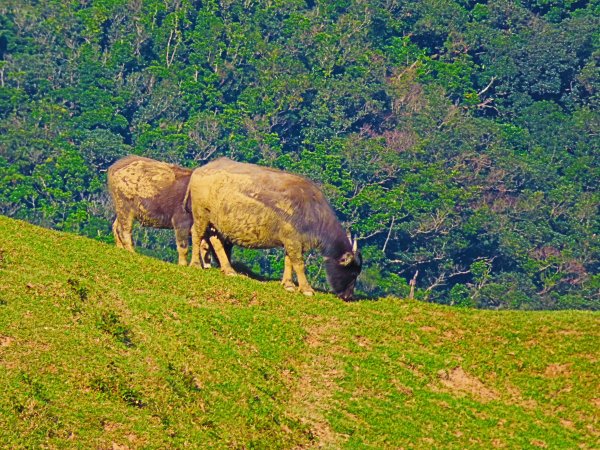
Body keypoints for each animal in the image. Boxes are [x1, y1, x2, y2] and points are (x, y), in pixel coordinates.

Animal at [185, 156, 360, 300]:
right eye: (352, 273)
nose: (348, 296)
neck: (311, 210)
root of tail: (199, 170)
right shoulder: (293, 240)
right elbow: (299, 264)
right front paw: (306, 289)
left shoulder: (291, 241)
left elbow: (289, 262)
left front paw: (288, 284)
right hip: (201, 215)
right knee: (196, 234)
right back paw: (195, 264)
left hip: (215, 223)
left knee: (215, 241)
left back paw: (229, 270)